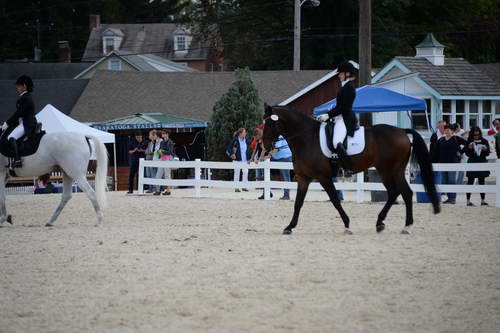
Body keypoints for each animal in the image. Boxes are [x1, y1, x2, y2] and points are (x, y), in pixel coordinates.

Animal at [264, 104, 440, 233]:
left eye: (270, 123)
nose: (265, 146)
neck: (306, 138)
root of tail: (402, 131)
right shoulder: (304, 178)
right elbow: (298, 203)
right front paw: (289, 227)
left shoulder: (323, 177)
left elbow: (335, 200)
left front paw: (347, 224)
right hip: (385, 171)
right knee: (394, 193)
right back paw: (381, 223)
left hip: (393, 170)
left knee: (405, 193)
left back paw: (406, 226)